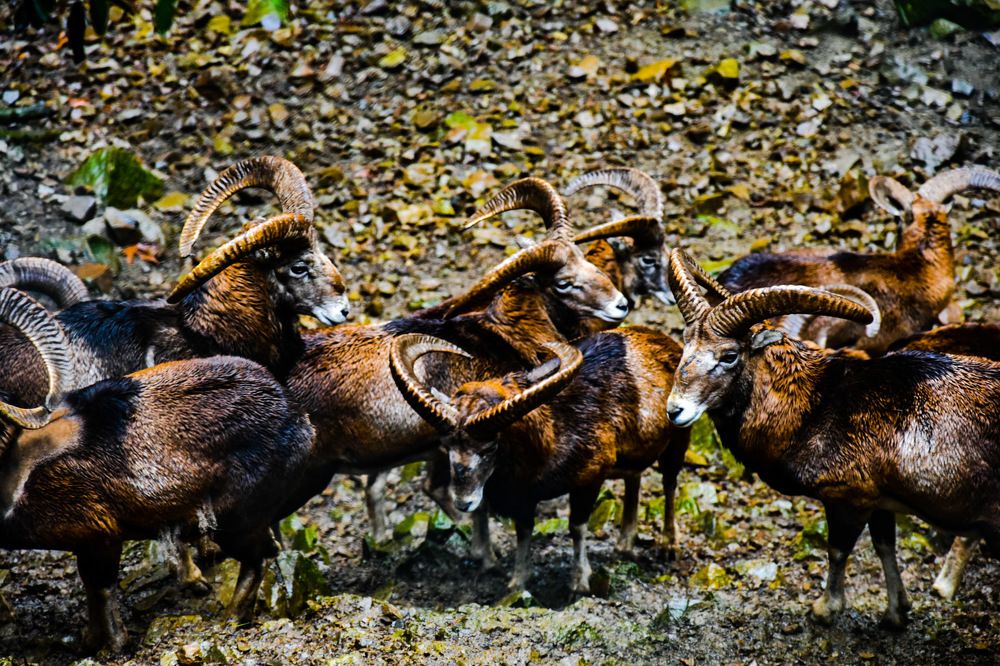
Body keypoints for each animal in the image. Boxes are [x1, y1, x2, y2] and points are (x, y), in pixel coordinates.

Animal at [0, 288, 314, 652]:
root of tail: (297, 418)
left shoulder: (100, 540)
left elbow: (101, 591)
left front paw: (113, 645)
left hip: (235, 523)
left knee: (257, 558)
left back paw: (231, 619)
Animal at [664, 248, 1000, 628]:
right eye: (686, 346)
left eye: (729, 355)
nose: (675, 411)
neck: (814, 405)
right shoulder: (879, 502)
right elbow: (885, 546)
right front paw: (896, 614)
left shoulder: (848, 500)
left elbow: (838, 551)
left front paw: (825, 609)